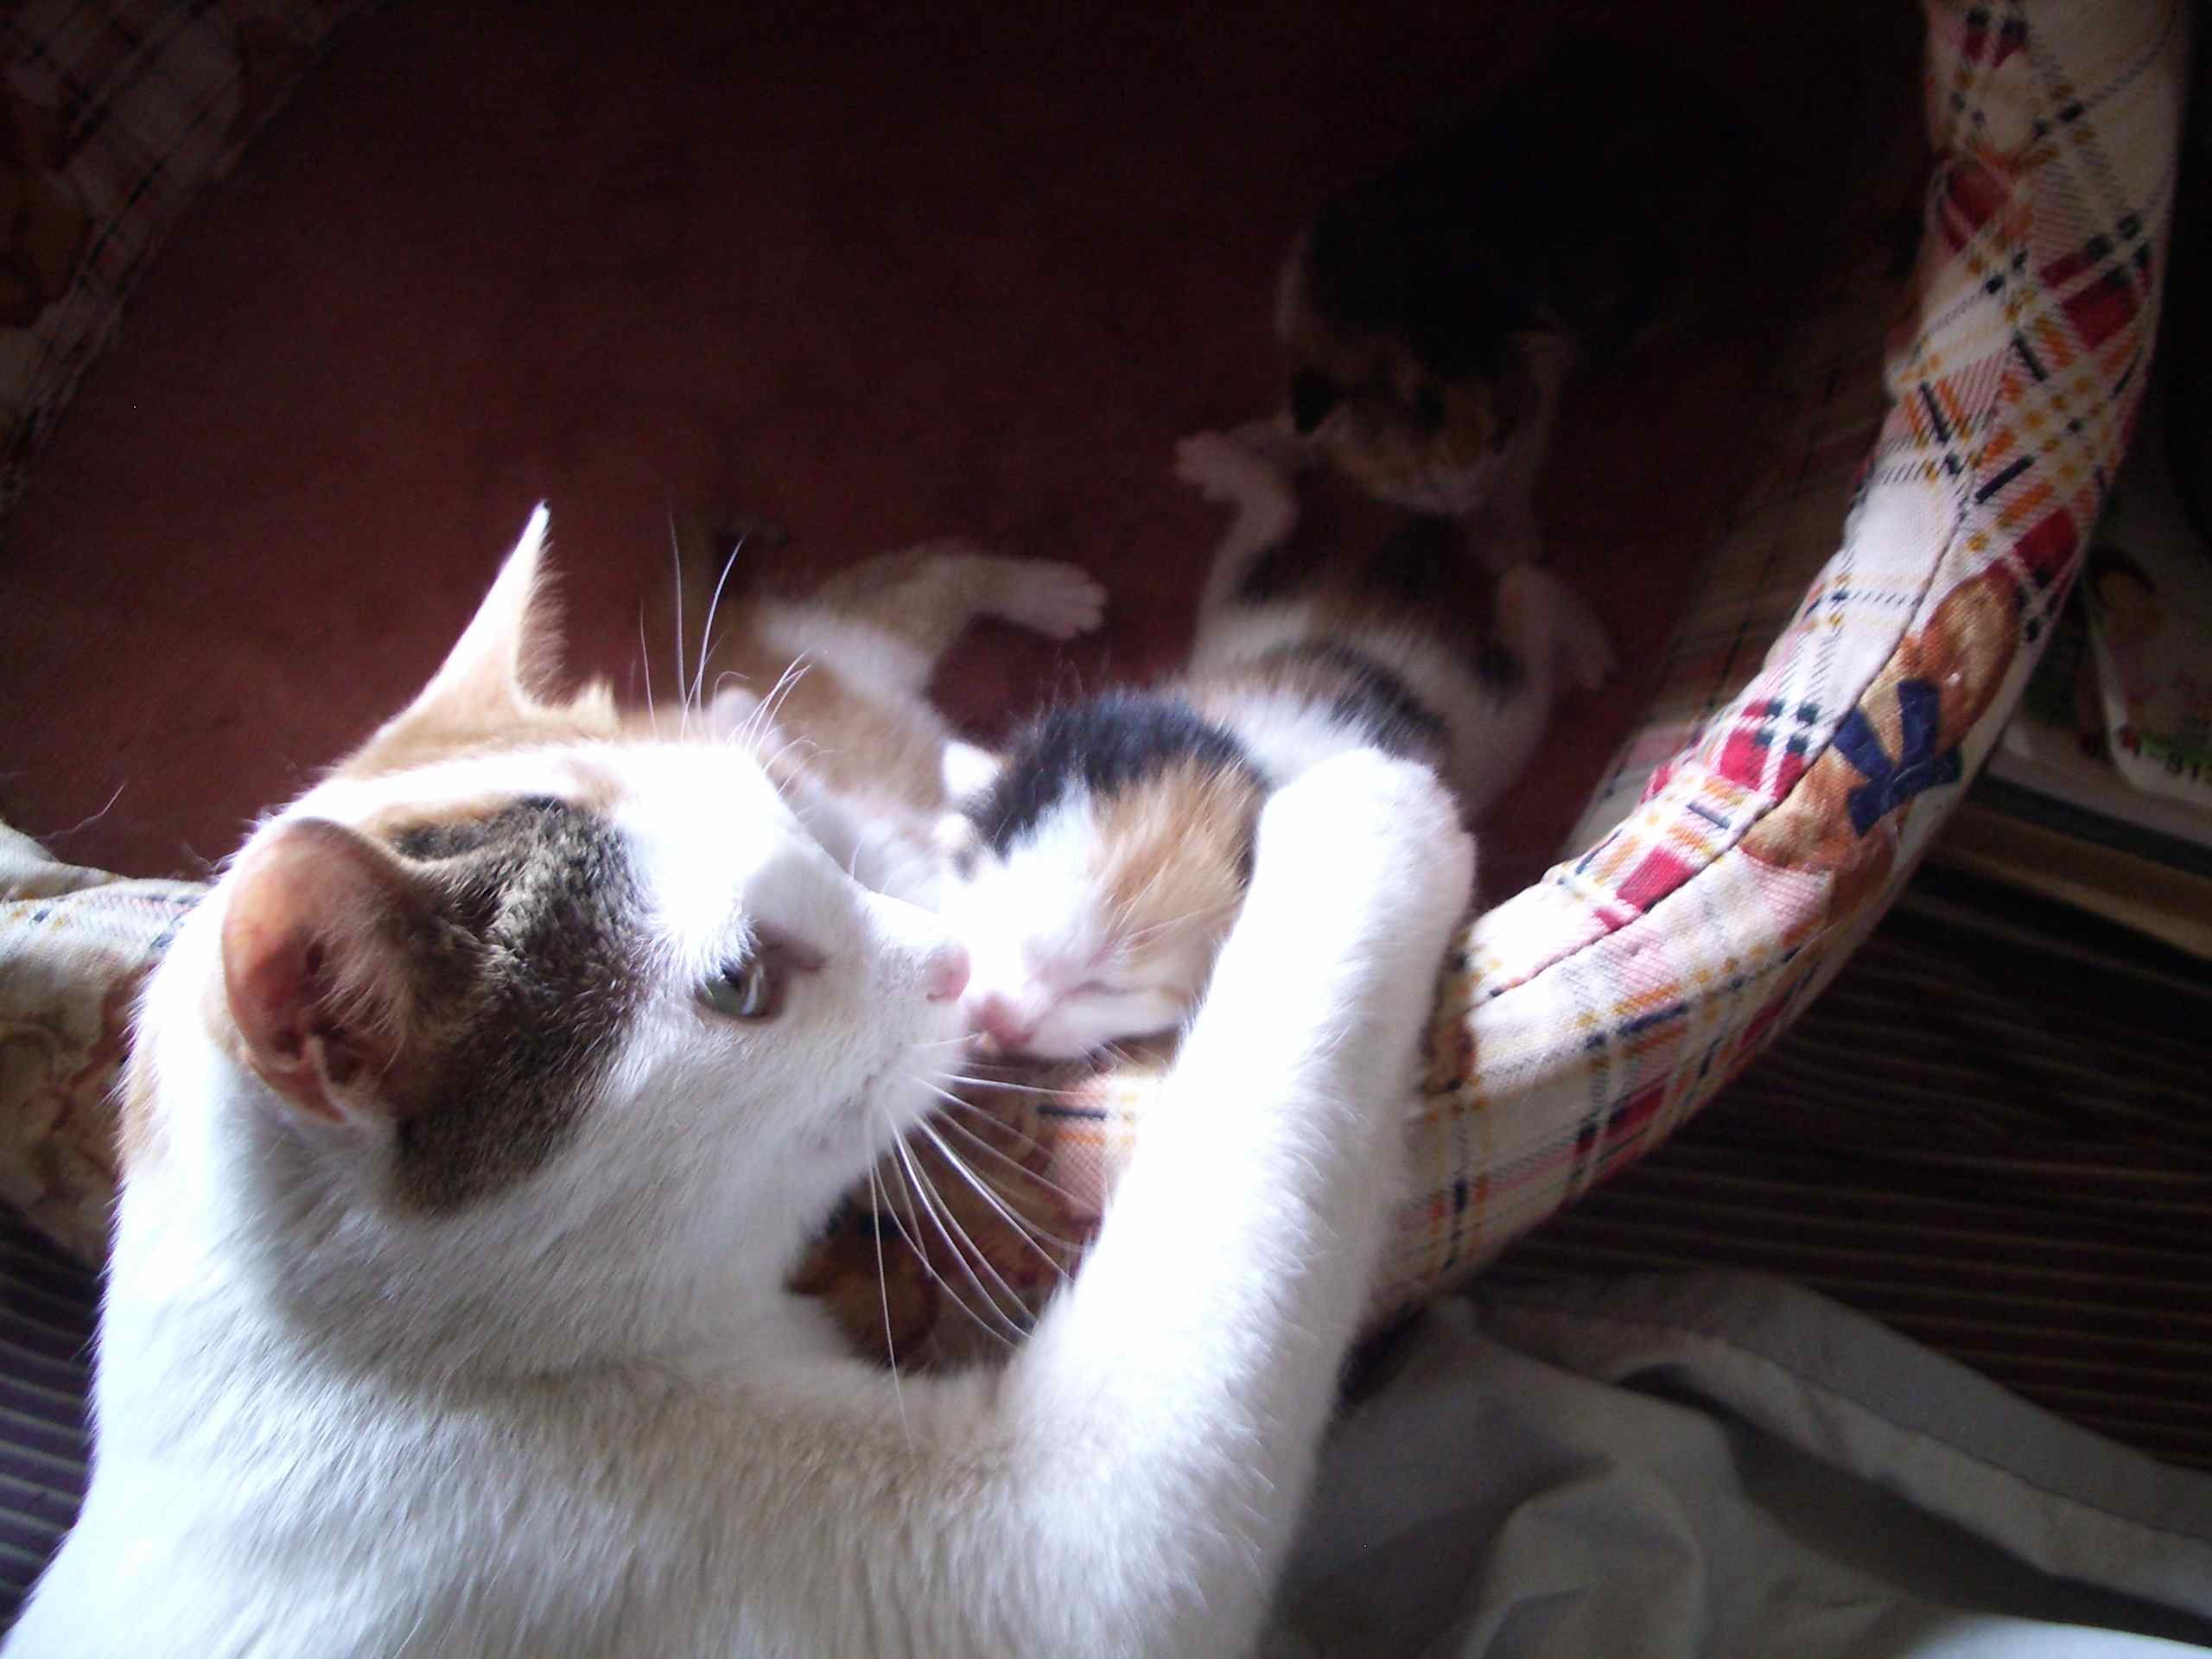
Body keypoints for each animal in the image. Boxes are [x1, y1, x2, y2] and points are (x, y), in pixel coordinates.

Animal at [7, 506, 1475, 1658]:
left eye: (796, 823)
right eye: (741, 985)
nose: (952, 971)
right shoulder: (1033, 1554)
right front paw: (1373, 817)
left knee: (889, 591)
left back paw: (1042, 587)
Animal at [938, 422, 1610, 1061]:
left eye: (1110, 987)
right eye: (990, 911)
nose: (996, 1015)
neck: (1234, 753)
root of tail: (1357, 628)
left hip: (1494, 725)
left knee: (1523, 629)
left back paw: (1566, 625)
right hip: (1234, 619)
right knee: (1271, 524)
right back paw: (1227, 467)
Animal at [1275, 44, 1735, 565]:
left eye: (1498, 441)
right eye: (1426, 481)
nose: (1471, 497)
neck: (1394, 292)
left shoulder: (1544, 352)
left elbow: (1530, 442)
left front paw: (1502, 525)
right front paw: (1276, 441)